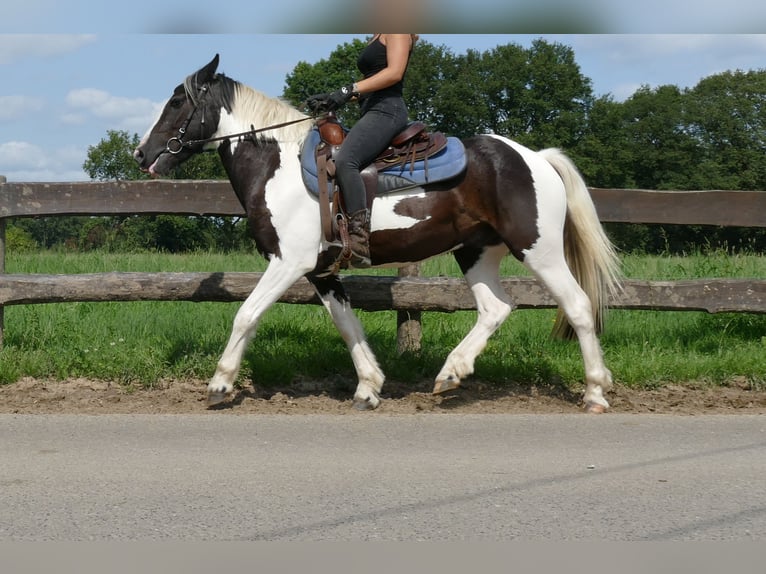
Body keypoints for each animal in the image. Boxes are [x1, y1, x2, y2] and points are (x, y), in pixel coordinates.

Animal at [132, 54, 624, 414]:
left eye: (176, 103)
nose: (141, 153)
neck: (279, 165)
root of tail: (536, 157)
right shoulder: (321, 271)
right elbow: (347, 325)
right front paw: (369, 387)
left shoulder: (288, 263)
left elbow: (246, 314)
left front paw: (220, 383)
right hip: (476, 252)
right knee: (496, 308)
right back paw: (450, 374)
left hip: (539, 250)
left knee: (578, 306)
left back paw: (595, 392)